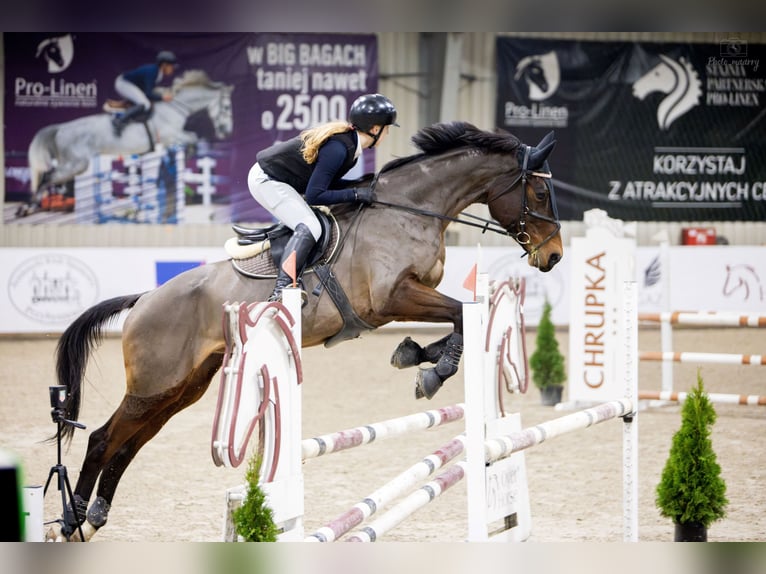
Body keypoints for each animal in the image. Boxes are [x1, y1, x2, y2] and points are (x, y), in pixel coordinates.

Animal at [49, 120, 564, 540]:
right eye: (539, 195)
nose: (554, 256)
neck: (409, 209)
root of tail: (143, 300)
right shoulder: (393, 297)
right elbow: (458, 312)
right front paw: (432, 370)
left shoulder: (404, 301)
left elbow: (460, 316)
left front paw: (418, 356)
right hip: (155, 384)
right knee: (103, 439)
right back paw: (73, 519)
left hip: (184, 386)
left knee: (129, 444)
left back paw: (95, 516)